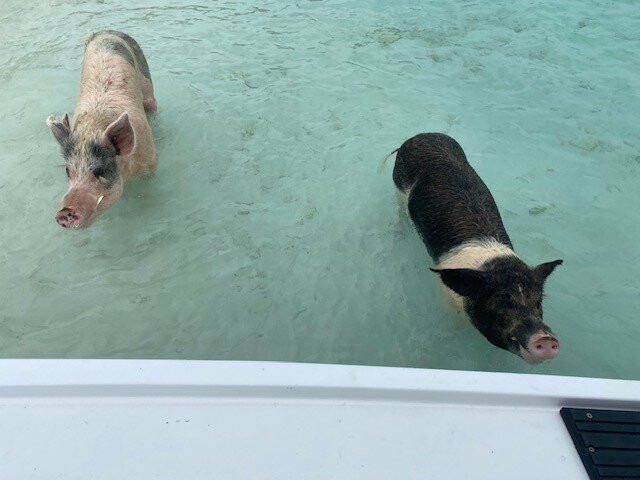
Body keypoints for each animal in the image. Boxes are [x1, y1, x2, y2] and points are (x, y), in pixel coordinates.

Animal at [391, 133, 563, 363]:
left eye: (538, 301)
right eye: (502, 300)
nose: (545, 338)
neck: (490, 262)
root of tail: (422, 135)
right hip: (398, 186)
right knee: (400, 209)